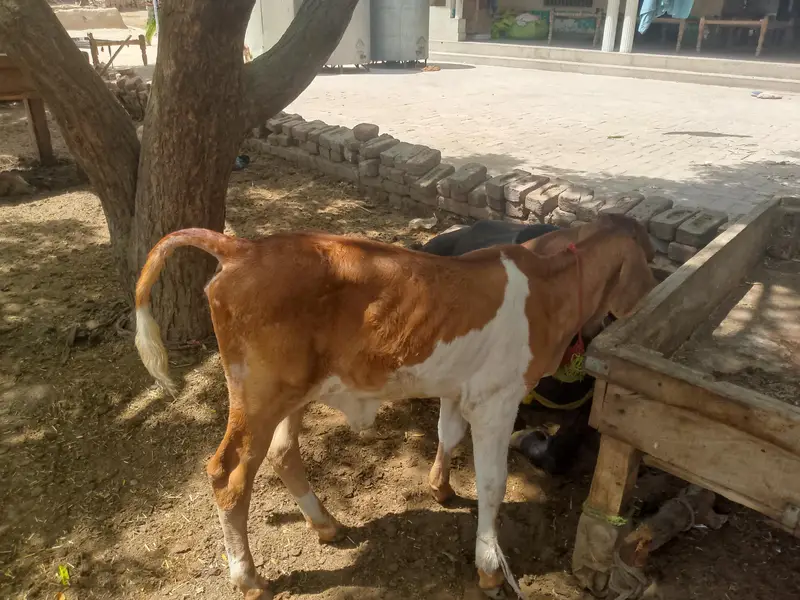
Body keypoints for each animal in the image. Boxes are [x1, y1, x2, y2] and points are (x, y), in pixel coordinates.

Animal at [133, 213, 656, 599]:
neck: (549, 285)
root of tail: (245, 248)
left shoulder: (458, 387)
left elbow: (448, 434)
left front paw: (440, 488)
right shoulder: (497, 398)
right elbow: (492, 482)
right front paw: (489, 566)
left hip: (292, 392)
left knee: (283, 453)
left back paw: (326, 525)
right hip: (258, 393)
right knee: (228, 474)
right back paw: (248, 578)